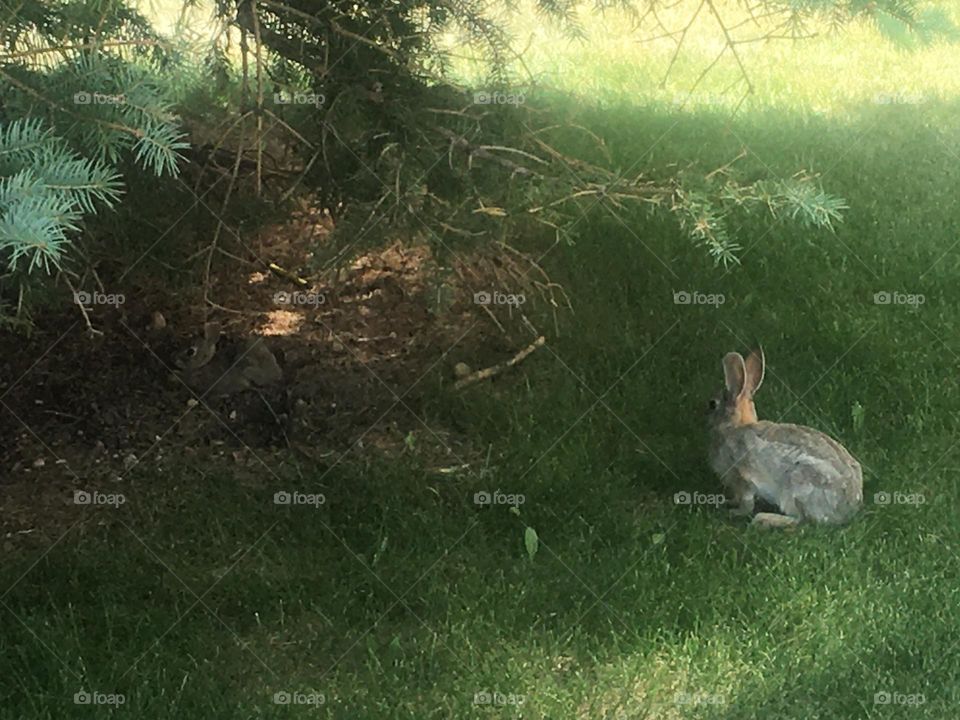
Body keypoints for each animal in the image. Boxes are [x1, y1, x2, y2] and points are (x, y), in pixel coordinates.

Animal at [707, 348, 863, 528]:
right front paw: (729, 502)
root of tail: (848, 509)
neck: (734, 426)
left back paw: (763, 519)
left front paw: (735, 512)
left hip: (796, 487)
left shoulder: (743, 477)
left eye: (712, 404)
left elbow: (747, 502)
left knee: (798, 519)